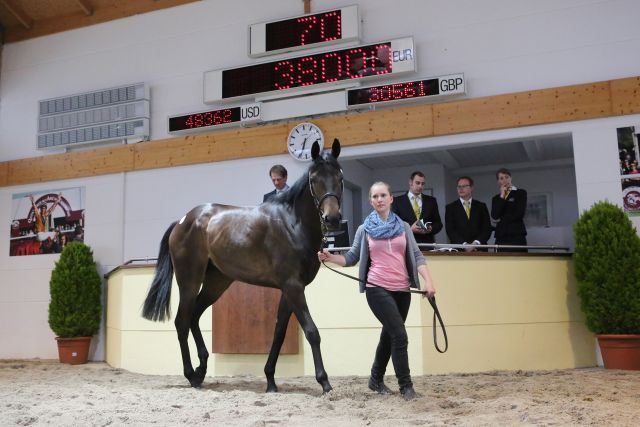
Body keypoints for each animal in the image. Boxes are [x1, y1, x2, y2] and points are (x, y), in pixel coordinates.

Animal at [142, 140, 342, 394]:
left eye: (340, 176)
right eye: (314, 179)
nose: (332, 218)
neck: (292, 224)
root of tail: (182, 221)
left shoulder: (290, 290)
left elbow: (278, 332)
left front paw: (270, 381)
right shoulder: (293, 286)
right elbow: (312, 331)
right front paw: (324, 382)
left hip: (216, 283)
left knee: (194, 316)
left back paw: (201, 369)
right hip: (189, 281)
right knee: (182, 321)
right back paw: (191, 375)